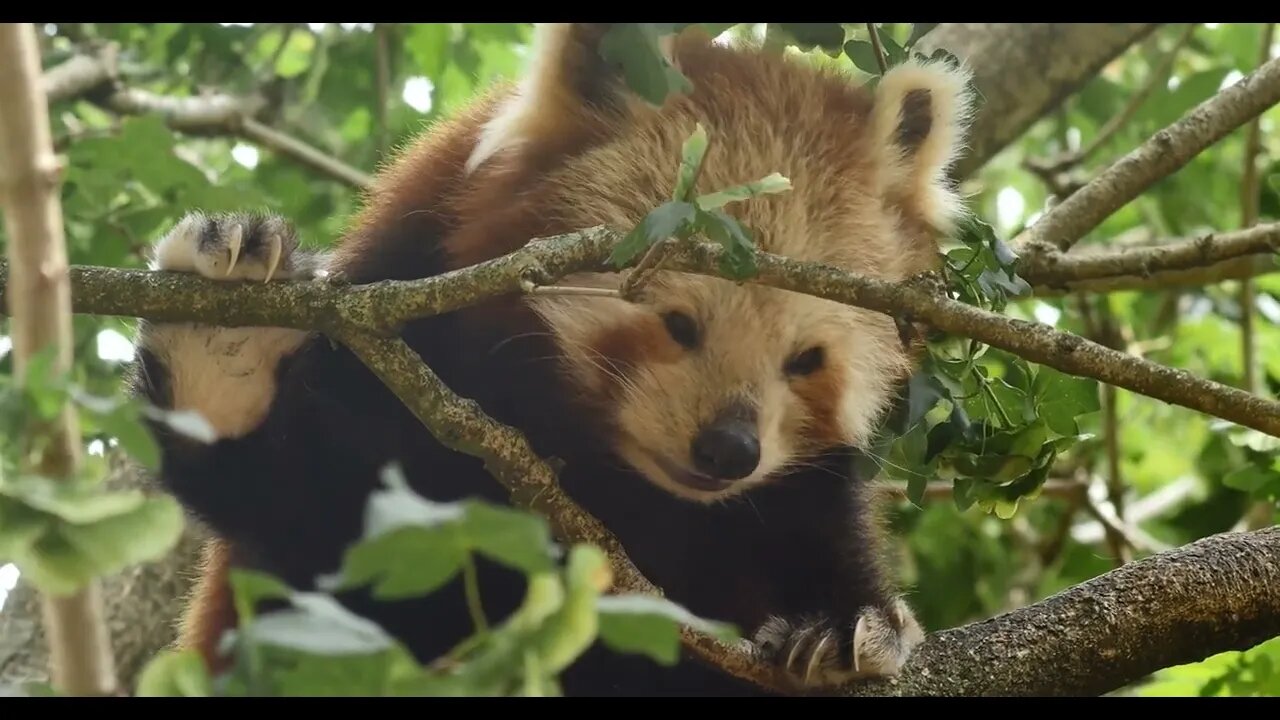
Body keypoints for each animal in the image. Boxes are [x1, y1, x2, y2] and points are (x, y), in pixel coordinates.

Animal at [129, 22, 967, 696]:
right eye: (677, 323)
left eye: (805, 359)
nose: (730, 450)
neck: (614, 473)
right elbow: (313, 515)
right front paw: (225, 352)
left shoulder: (791, 501)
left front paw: (839, 625)